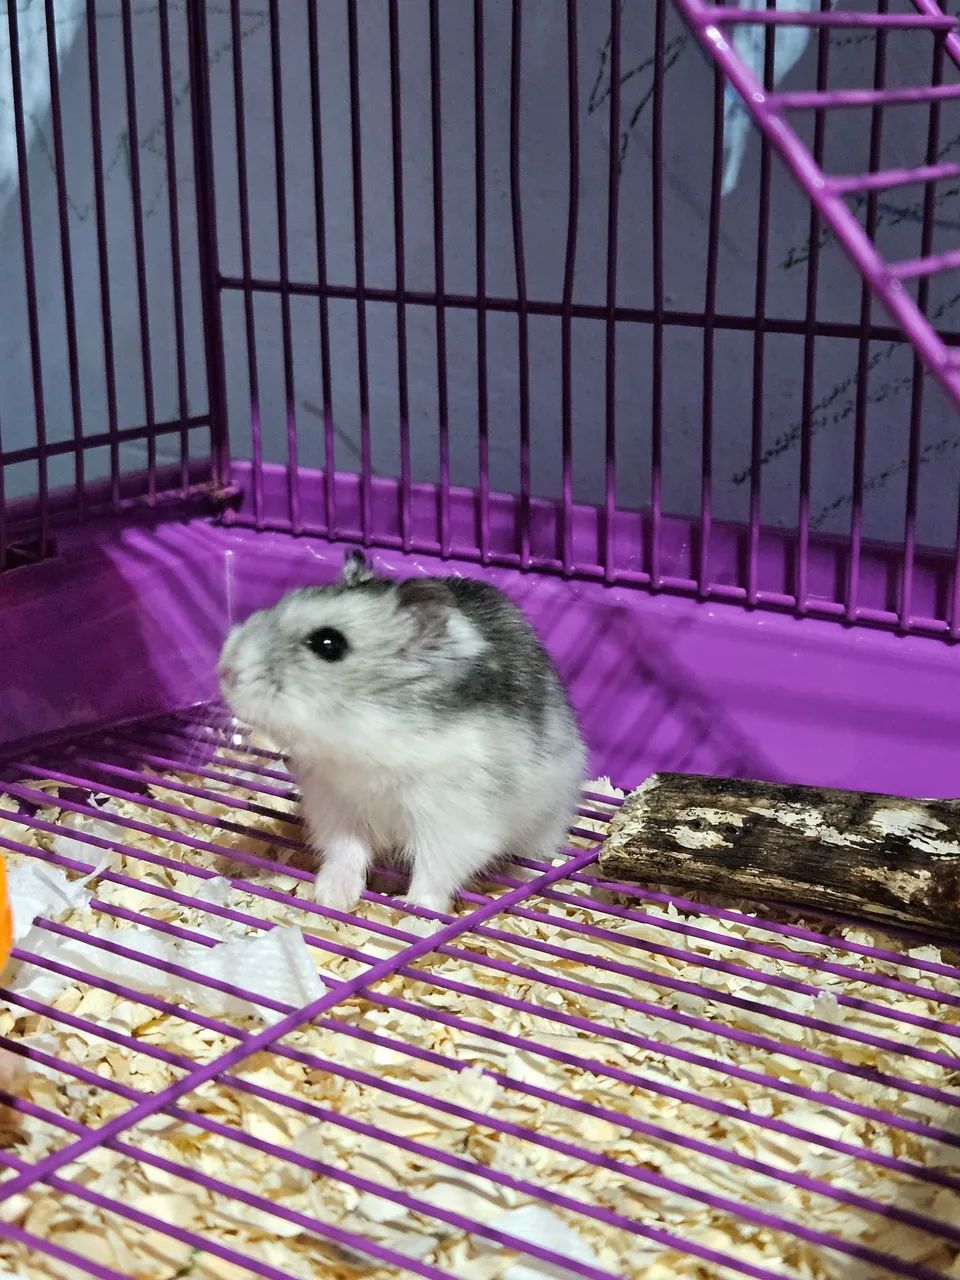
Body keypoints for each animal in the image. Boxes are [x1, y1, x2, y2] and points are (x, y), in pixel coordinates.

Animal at [218, 550, 585, 914]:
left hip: (549, 817)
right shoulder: (336, 807)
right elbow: (345, 852)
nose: (224, 670)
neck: (370, 742)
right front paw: (331, 898)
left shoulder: (452, 820)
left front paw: (412, 909)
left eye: (328, 644)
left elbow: (434, 871)